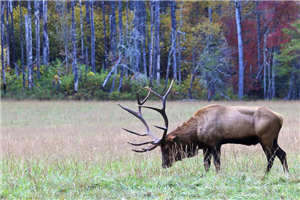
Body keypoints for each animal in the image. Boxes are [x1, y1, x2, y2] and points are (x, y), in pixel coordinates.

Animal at [119, 81, 288, 173]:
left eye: (167, 147)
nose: (164, 165)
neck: (197, 132)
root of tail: (280, 118)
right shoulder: (206, 146)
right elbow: (206, 165)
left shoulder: (215, 143)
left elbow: (217, 164)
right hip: (273, 139)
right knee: (282, 154)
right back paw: (286, 174)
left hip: (265, 138)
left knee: (271, 157)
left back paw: (265, 175)